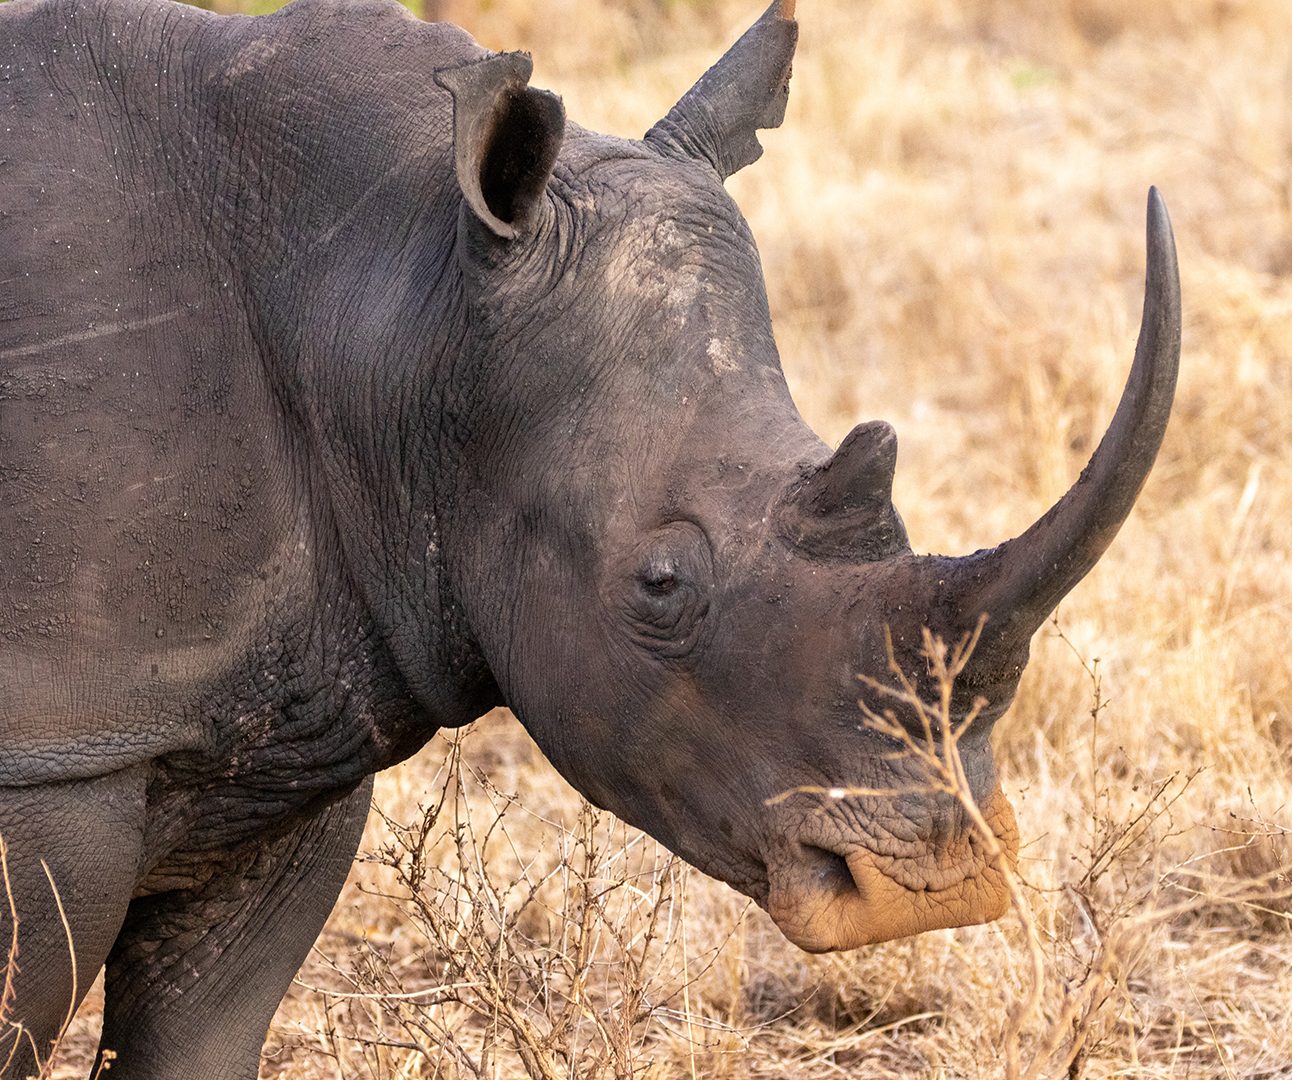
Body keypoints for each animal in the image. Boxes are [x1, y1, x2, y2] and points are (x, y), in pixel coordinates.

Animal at [0, 0, 1183, 1069]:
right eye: (659, 584)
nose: (929, 889)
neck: (396, 292)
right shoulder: (56, 745)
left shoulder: (287, 726)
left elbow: (204, 1030)